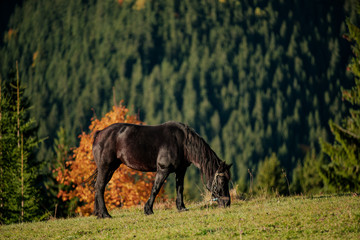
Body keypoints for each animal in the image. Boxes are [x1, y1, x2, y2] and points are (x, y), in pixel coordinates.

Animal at [88, 122, 232, 218]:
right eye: (222, 180)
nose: (227, 203)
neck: (182, 143)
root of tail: (99, 133)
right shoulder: (163, 170)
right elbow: (155, 189)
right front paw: (148, 210)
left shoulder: (181, 171)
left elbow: (180, 189)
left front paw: (181, 207)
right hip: (105, 167)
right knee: (100, 187)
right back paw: (105, 214)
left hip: (111, 168)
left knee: (99, 187)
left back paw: (99, 214)